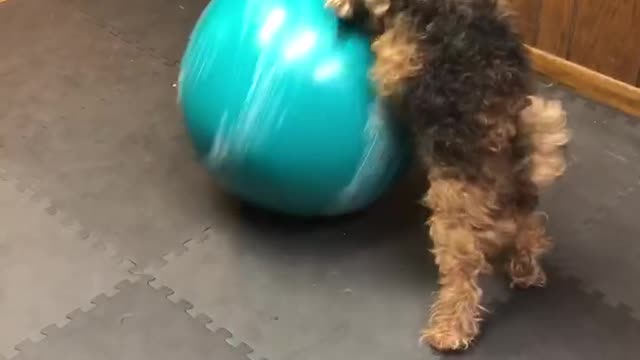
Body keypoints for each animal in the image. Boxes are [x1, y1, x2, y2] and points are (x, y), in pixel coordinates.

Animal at [324, 0, 568, 352]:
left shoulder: (397, 55)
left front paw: (342, 6)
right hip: (515, 199)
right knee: (530, 228)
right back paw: (526, 270)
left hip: (455, 210)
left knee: (463, 277)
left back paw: (450, 332)